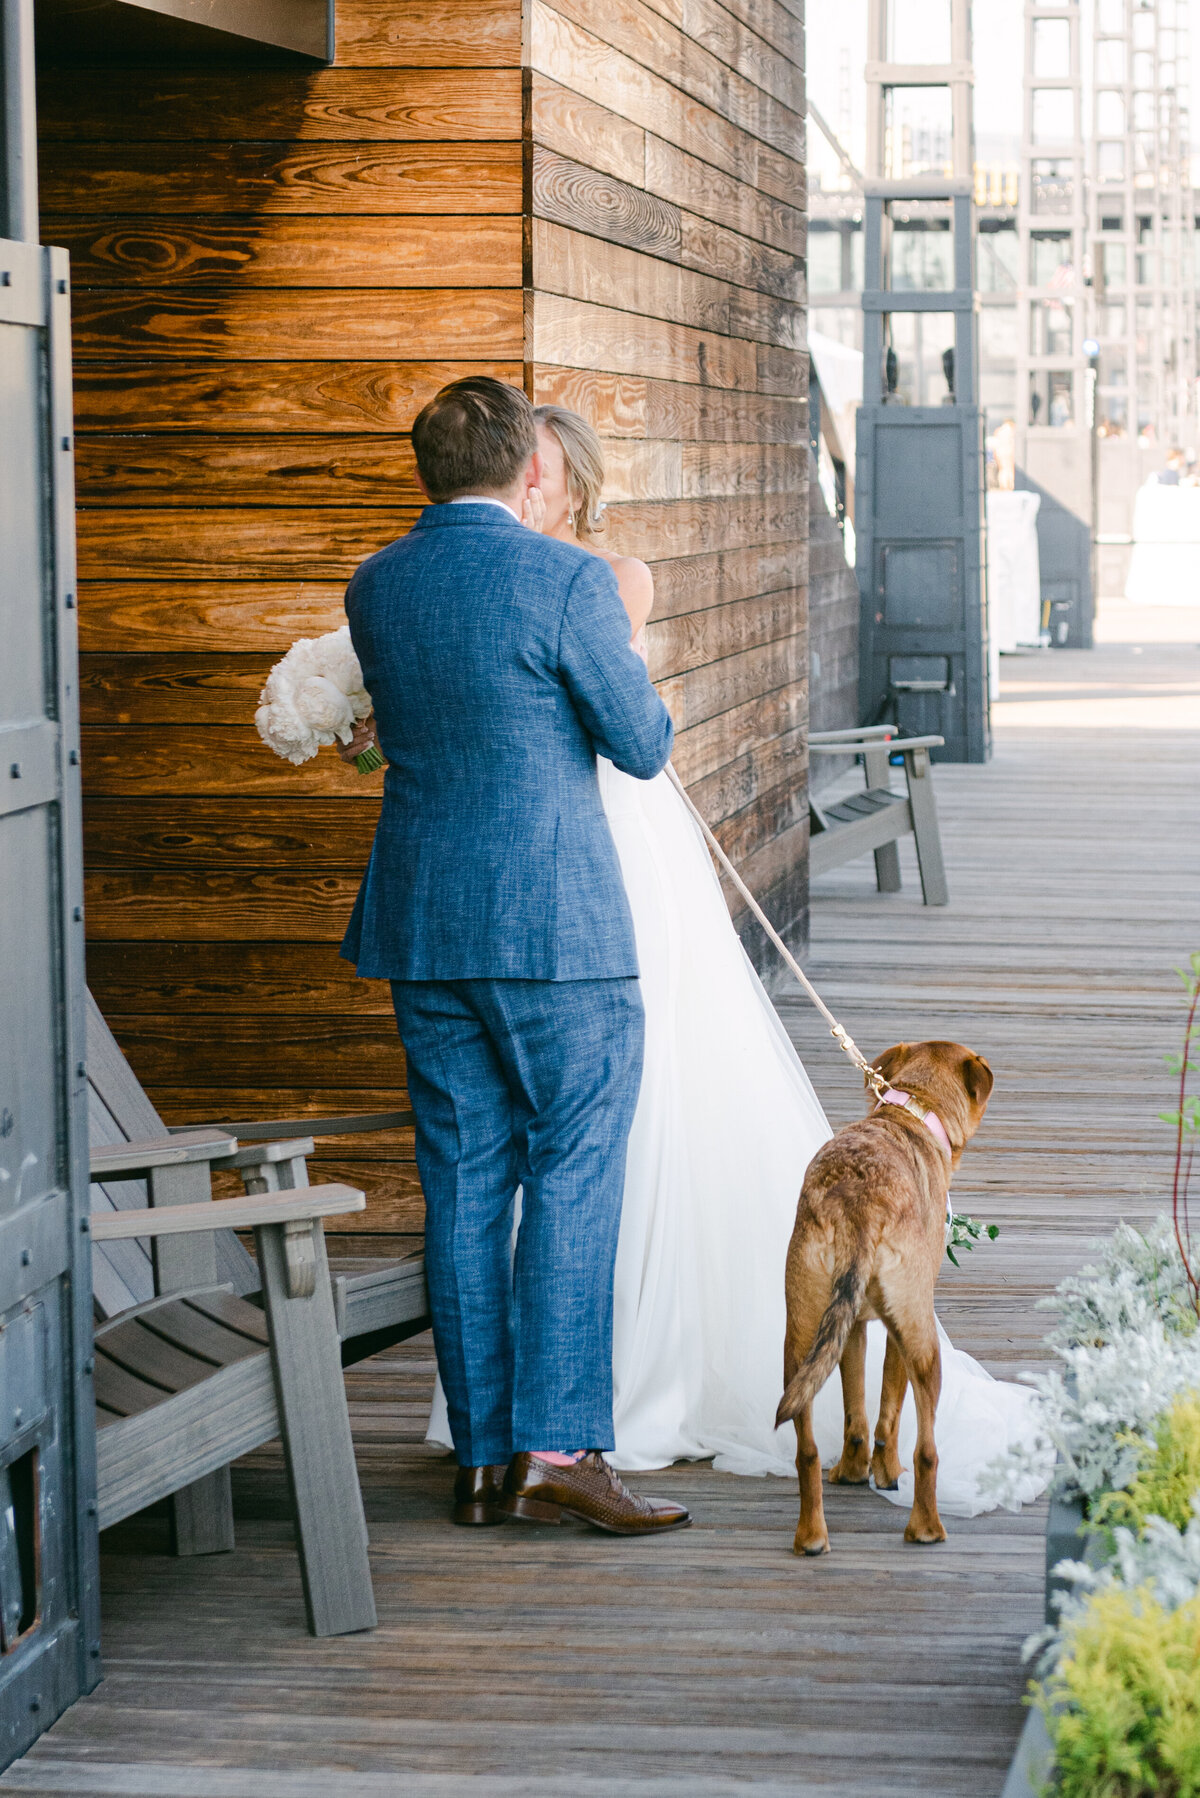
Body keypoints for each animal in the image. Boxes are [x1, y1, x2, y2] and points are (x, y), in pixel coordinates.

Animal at [780, 1050, 993, 1553]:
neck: (911, 1108)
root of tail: (858, 1204)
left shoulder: (850, 1327)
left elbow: (857, 1414)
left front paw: (852, 1472)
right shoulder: (899, 1337)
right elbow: (889, 1414)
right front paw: (885, 1472)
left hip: (802, 1333)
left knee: (806, 1448)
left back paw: (811, 1535)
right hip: (922, 1338)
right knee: (927, 1449)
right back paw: (927, 1528)